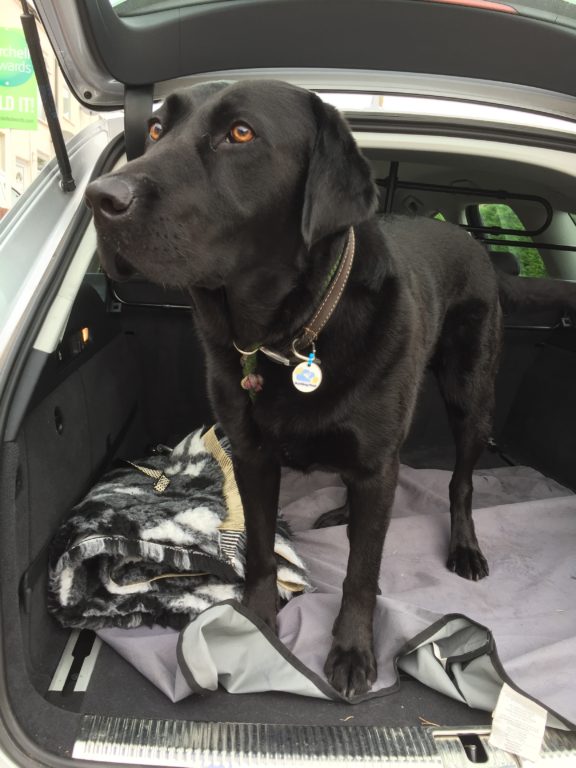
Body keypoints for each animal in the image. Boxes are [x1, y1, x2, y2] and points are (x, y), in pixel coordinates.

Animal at [85, 81, 508, 700]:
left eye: (240, 133)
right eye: (158, 129)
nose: (100, 198)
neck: (289, 335)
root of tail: (469, 237)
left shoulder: (375, 461)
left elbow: (362, 572)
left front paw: (353, 651)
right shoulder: (253, 456)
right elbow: (262, 548)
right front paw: (256, 623)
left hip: (470, 395)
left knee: (460, 483)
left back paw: (466, 547)